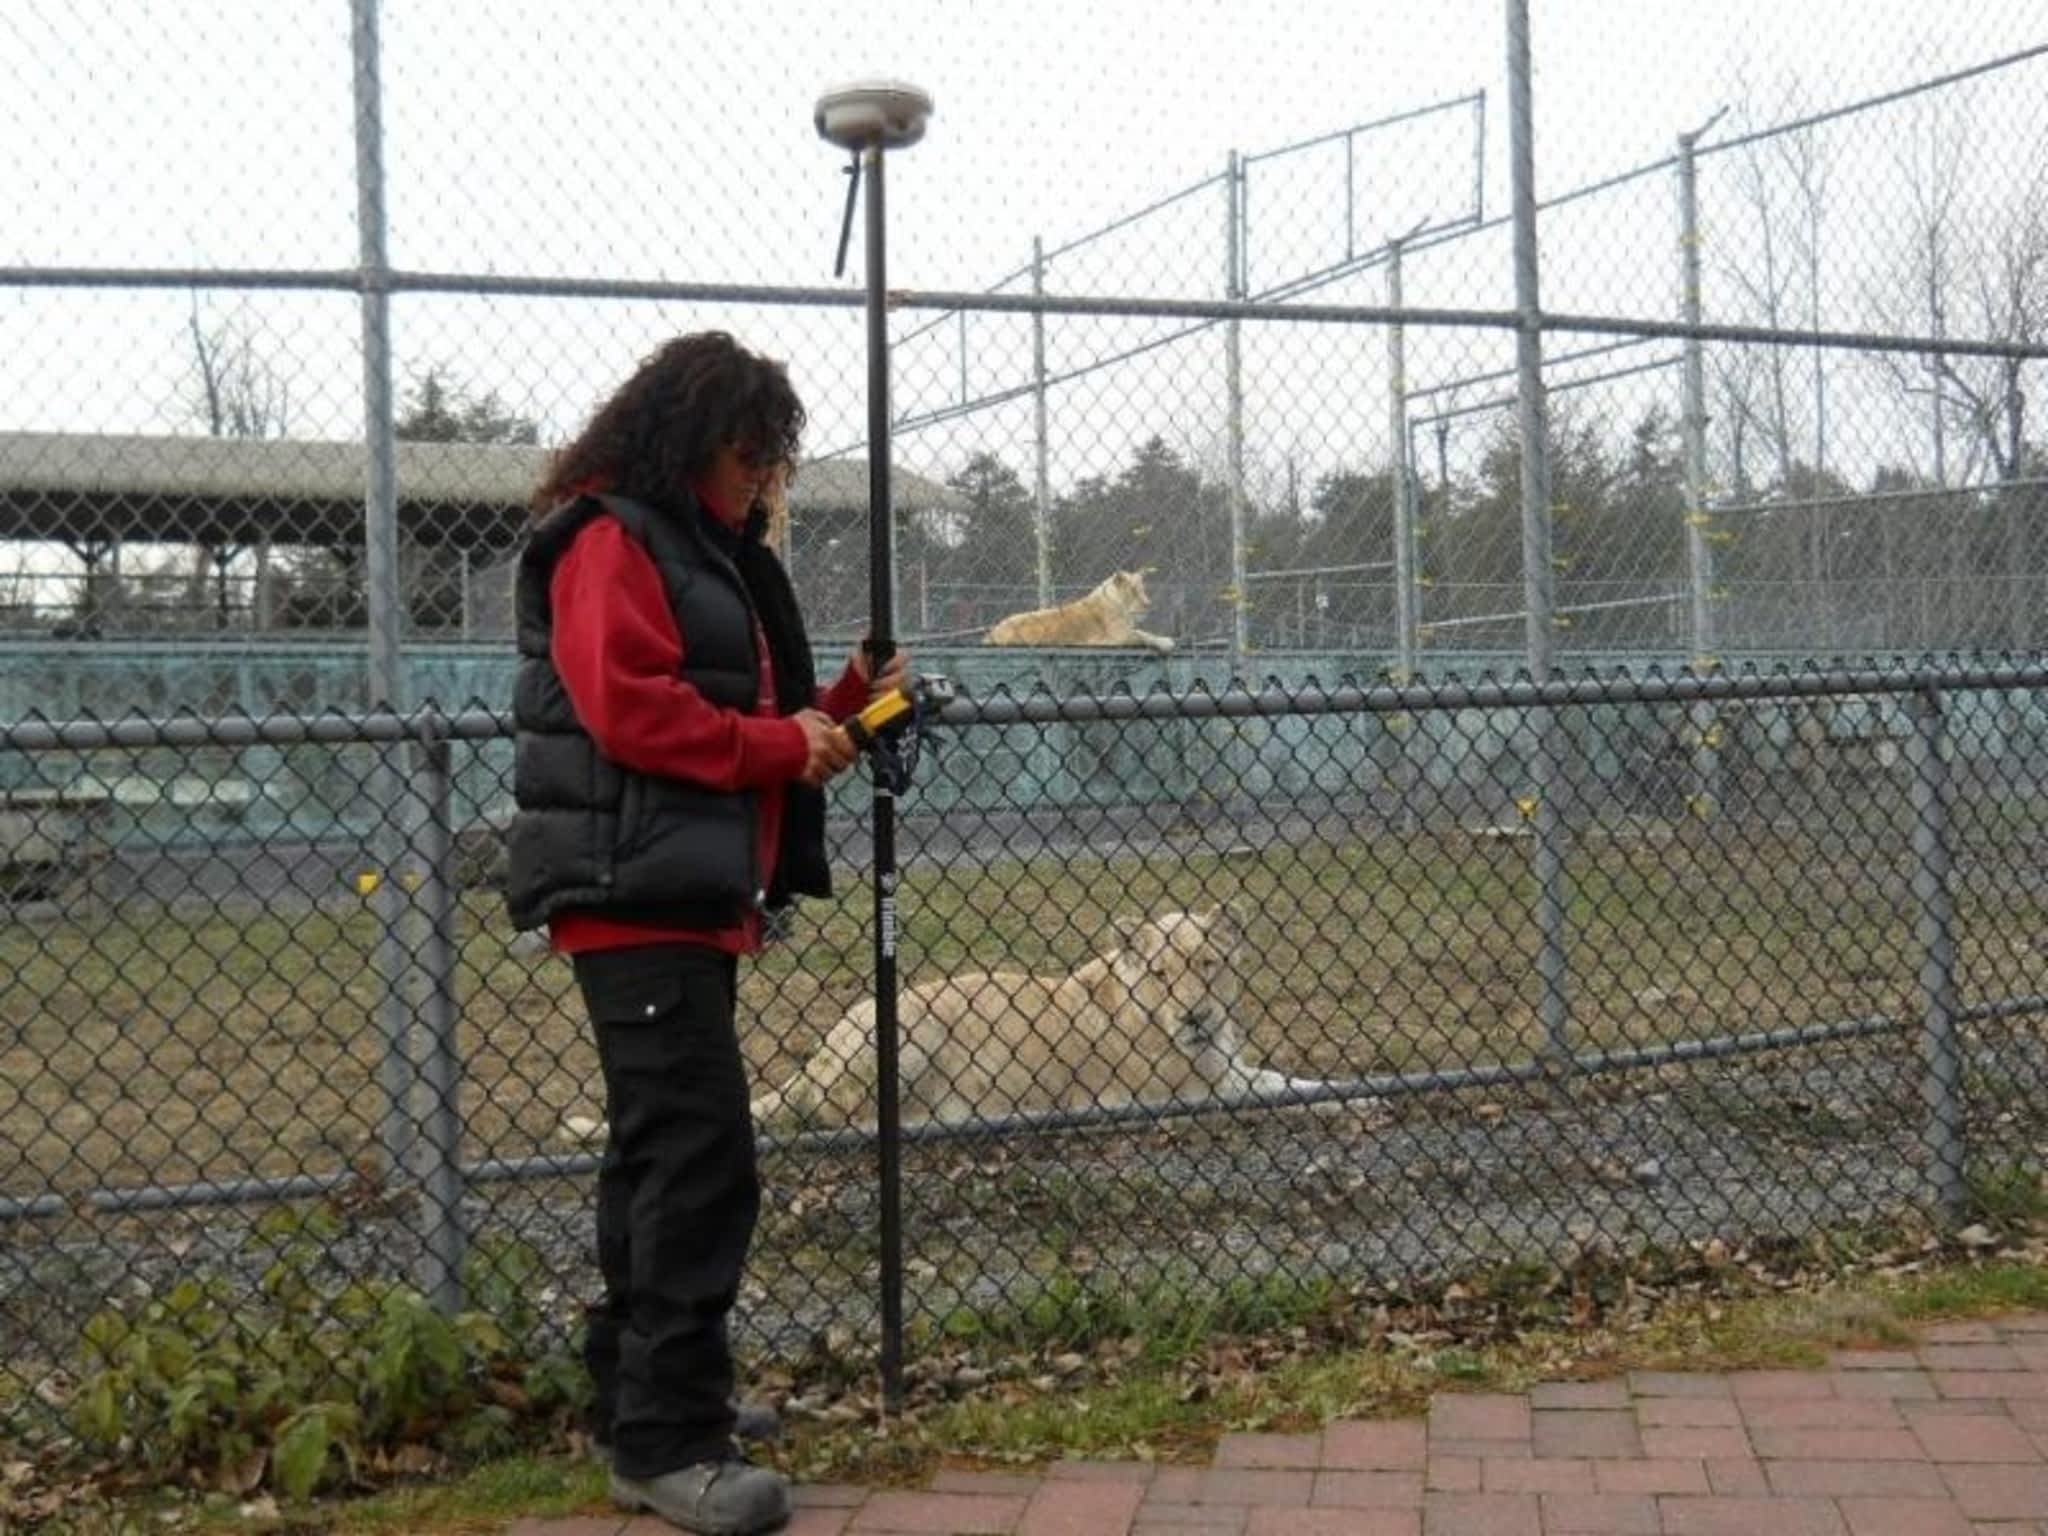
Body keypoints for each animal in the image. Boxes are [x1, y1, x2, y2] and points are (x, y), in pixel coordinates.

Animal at [753, 909, 1327, 1138]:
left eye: (1208, 963)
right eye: (1161, 973)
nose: (1195, 1015)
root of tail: (815, 1059)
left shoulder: (1228, 1070)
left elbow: (1287, 1081)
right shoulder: (1193, 1094)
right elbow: (1280, 1094)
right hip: (911, 1026)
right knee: (844, 1117)